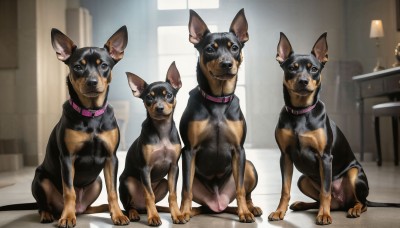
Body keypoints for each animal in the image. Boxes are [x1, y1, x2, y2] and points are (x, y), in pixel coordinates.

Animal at [28, 26, 129, 226]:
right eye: (78, 67)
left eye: (103, 65)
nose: (92, 82)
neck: (91, 113)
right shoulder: (67, 158)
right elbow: (69, 191)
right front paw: (67, 217)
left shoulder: (111, 158)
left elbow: (112, 192)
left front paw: (118, 215)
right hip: (39, 179)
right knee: (44, 204)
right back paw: (50, 214)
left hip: (97, 182)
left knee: (88, 207)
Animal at [119, 61, 184, 225]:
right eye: (149, 97)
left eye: (169, 95)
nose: (159, 108)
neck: (162, 130)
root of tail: (140, 207)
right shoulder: (145, 168)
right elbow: (149, 195)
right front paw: (153, 217)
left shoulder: (174, 167)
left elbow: (173, 195)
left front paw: (177, 215)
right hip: (127, 182)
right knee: (129, 206)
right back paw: (134, 214)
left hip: (164, 183)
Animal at [178, 8, 262, 223]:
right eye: (210, 49)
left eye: (235, 47)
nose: (226, 64)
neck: (218, 100)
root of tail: (217, 205)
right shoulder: (189, 151)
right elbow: (186, 189)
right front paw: (183, 213)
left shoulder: (239, 150)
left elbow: (240, 188)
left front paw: (244, 213)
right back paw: (189, 211)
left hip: (249, 166)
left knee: (246, 192)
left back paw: (251, 208)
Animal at [268, 33, 400, 225]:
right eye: (292, 68)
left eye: (314, 69)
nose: (303, 81)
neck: (301, 112)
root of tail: (342, 201)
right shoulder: (285, 156)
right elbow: (285, 189)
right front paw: (279, 211)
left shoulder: (324, 157)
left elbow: (325, 191)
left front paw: (324, 215)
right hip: (303, 179)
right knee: (322, 200)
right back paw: (301, 204)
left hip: (354, 174)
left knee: (361, 202)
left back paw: (353, 209)